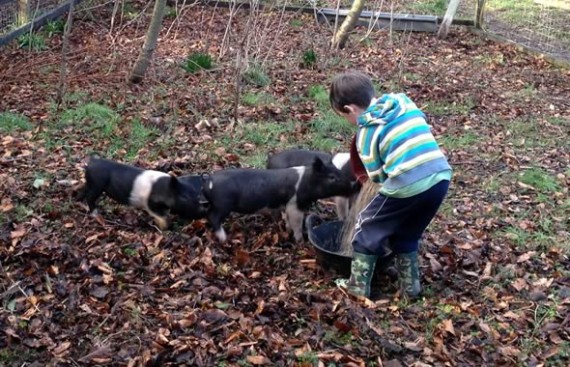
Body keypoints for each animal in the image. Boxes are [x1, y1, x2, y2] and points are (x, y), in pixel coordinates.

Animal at [76, 157, 207, 230]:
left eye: (196, 194)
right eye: (184, 197)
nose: (203, 210)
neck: (164, 190)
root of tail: (91, 162)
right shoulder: (150, 203)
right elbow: (162, 216)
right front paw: (165, 229)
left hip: (91, 184)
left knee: (84, 192)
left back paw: (79, 202)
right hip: (97, 185)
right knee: (90, 198)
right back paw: (97, 215)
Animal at [200, 157, 350, 243]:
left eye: (338, 171)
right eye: (331, 177)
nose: (353, 183)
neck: (306, 182)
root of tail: (209, 180)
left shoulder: (288, 206)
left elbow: (289, 220)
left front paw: (288, 231)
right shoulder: (294, 204)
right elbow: (296, 223)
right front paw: (300, 241)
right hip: (223, 204)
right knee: (212, 217)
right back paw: (224, 239)